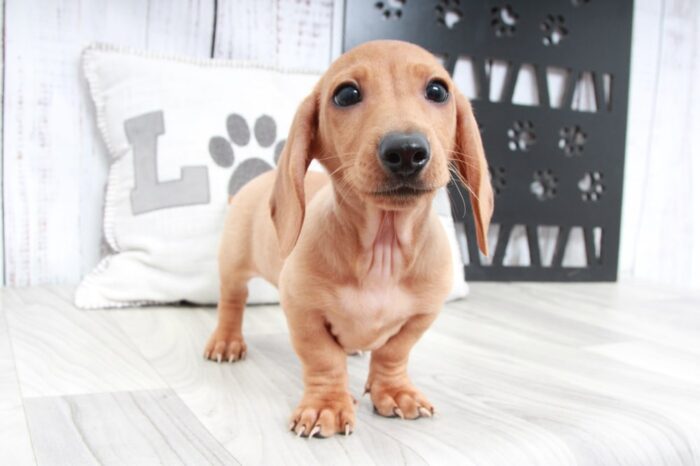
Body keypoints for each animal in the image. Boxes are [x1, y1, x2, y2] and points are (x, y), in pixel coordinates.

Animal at [205, 40, 494, 436]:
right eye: (346, 94)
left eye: (438, 90)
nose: (407, 150)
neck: (383, 249)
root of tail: (251, 184)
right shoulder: (302, 311)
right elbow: (323, 358)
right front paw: (326, 405)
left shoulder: (423, 313)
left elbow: (393, 352)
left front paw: (395, 391)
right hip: (233, 265)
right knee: (233, 302)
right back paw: (226, 340)